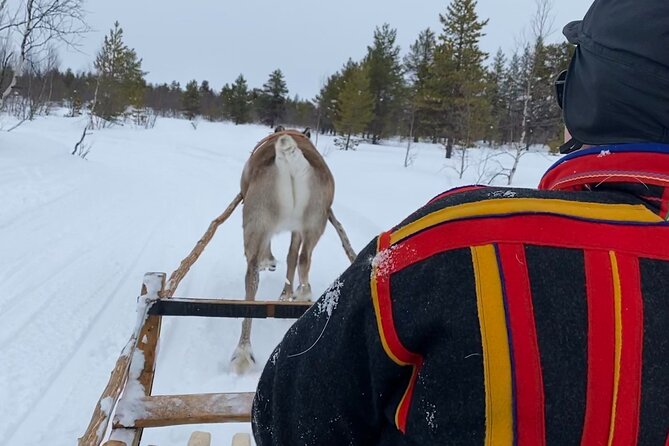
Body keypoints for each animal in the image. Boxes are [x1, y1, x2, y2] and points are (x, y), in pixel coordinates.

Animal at [230, 127, 335, 374]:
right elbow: (292, 257)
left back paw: (243, 351)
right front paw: (285, 294)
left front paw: (268, 261)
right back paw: (302, 295)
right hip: (314, 223)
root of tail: (290, 158)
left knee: (251, 278)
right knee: (304, 259)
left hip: (256, 221)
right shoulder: (296, 229)